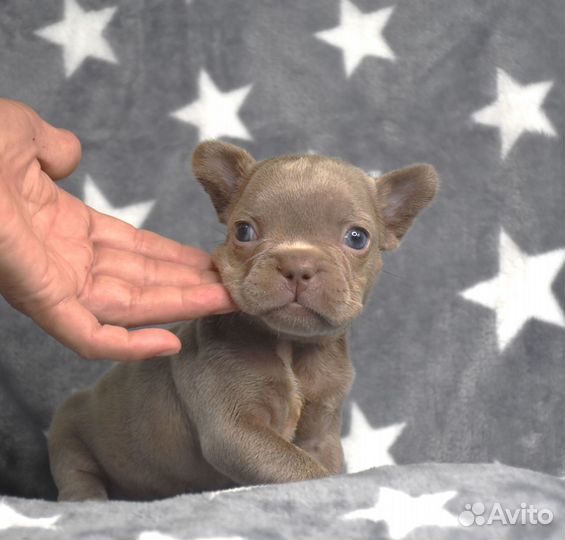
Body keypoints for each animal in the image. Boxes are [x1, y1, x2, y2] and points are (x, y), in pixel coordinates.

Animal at [48, 141, 438, 500]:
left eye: (357, 238)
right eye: (244, 231)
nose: (298, 264)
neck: (290, 345)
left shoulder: (321, 429)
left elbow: (322, 463)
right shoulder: (235, 428)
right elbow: (300, 468)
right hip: (68, 434)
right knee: (77, 474)